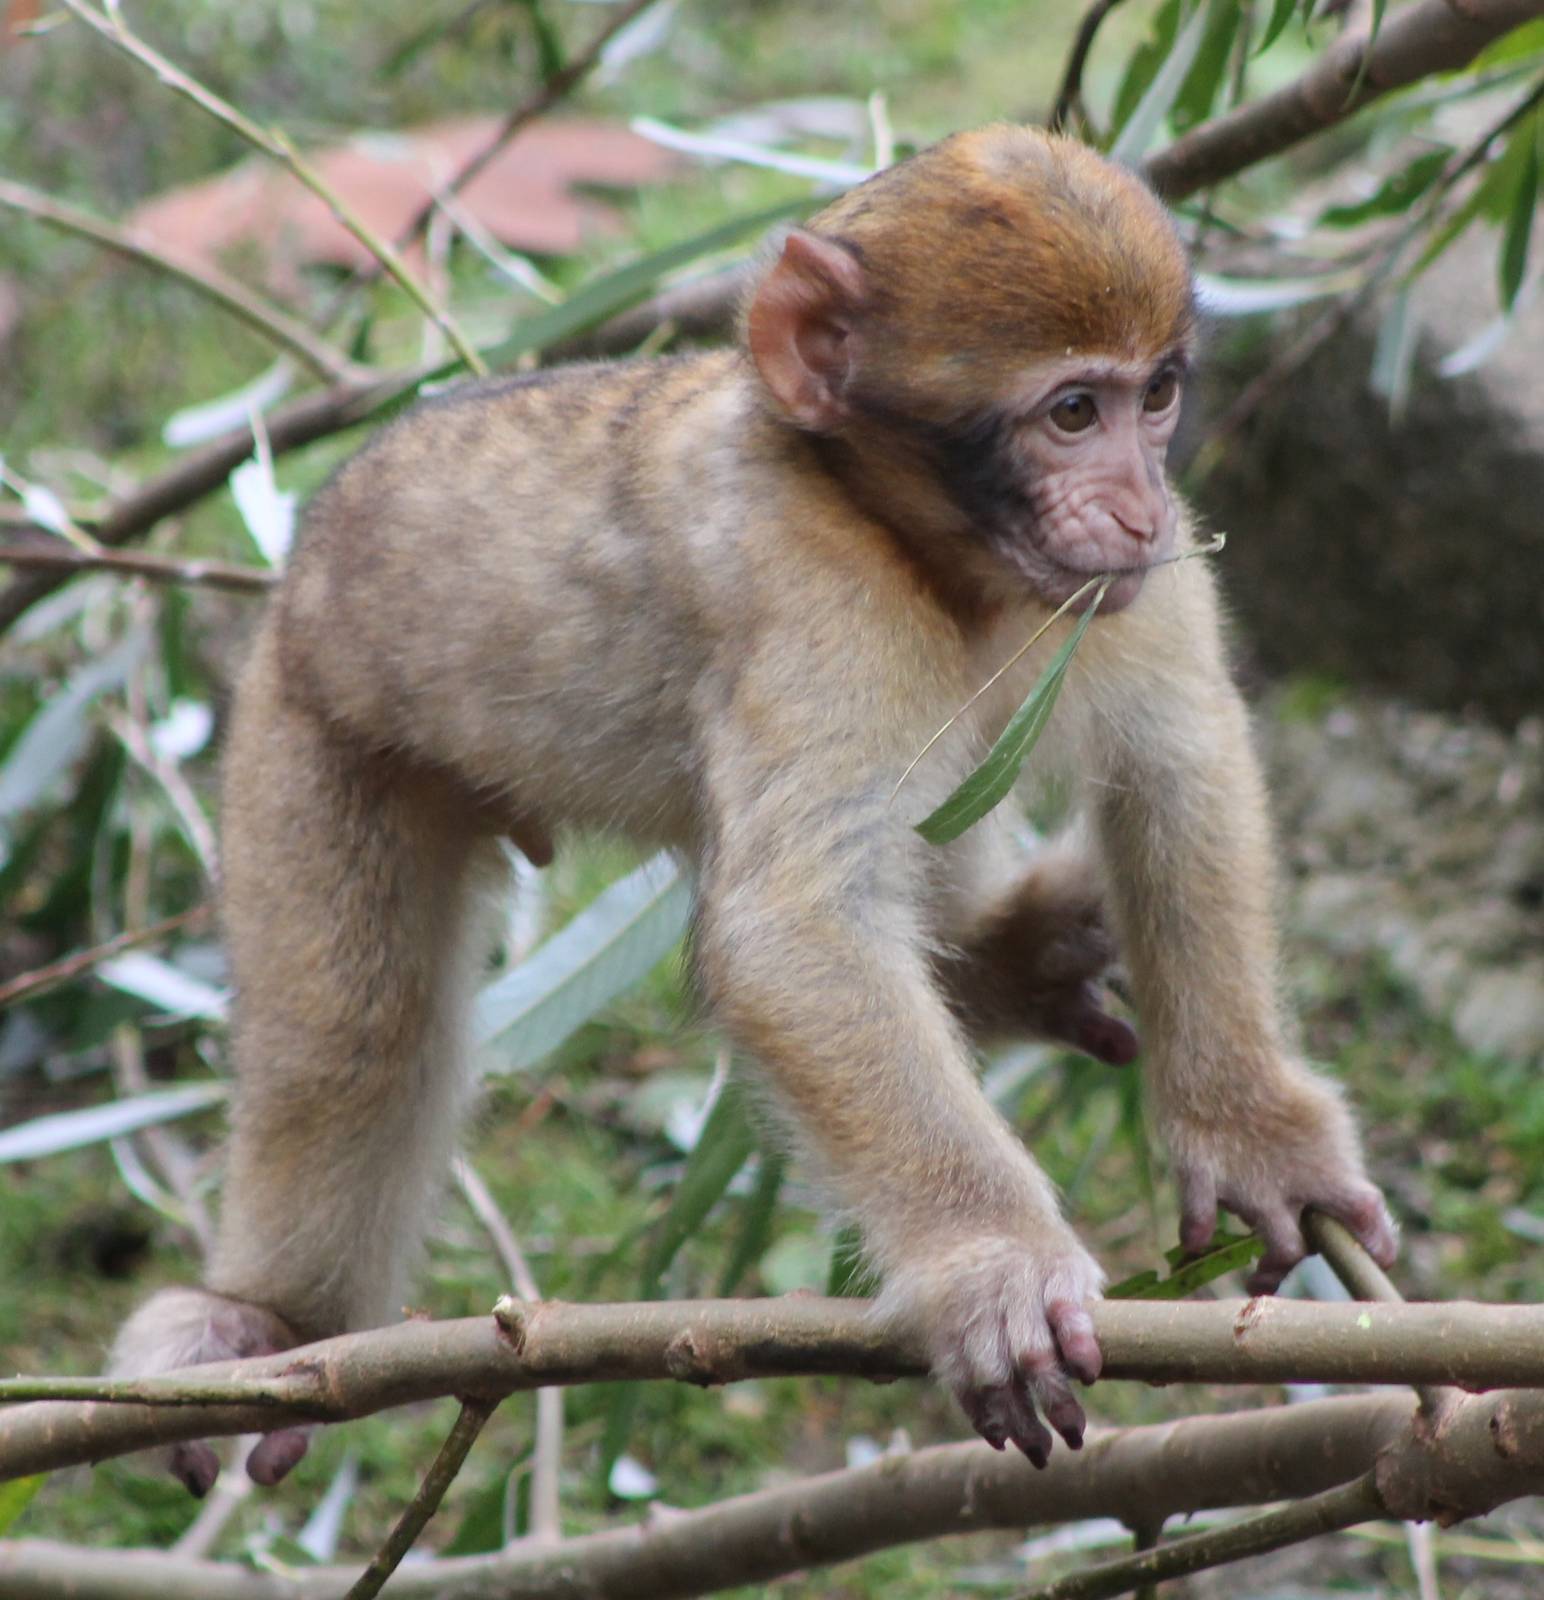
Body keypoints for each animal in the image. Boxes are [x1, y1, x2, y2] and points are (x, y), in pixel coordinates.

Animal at [111, 124, 1397, 1495]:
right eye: (1069, 412)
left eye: (1154, 397)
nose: (1141, 504)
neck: (922, 547)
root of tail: (298, 564)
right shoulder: (809, 588)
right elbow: (796, 927)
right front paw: (991, 1265)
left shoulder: (1132, 587)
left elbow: (1179, 763)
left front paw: (1251, 1130)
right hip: (309, 731)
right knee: (357, 1038)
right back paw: (270, 1323)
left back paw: (995, 961)